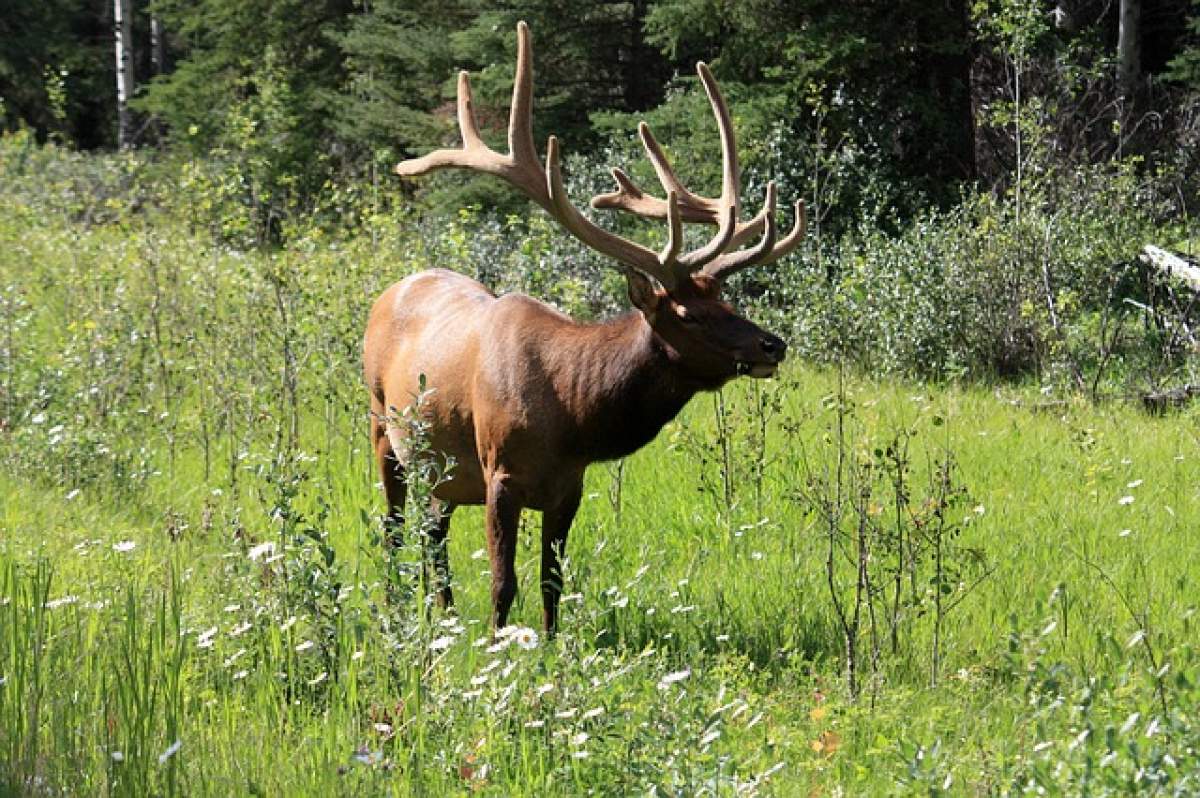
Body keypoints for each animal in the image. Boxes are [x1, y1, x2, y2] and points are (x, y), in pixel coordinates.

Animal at [360, 21, 801, 633]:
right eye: (689, 314)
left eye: (727, 300)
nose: (771, 344)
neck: (571, 414)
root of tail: (391, 290)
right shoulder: (500, 474)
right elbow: (504, 583)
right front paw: (498, 646)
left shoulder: (570, 485)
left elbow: (552, 582)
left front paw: (549, 644)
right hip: (382, 427)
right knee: (394, 528)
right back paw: (397, 610)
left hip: (438, 468)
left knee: (433, 532)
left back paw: (444, 617)